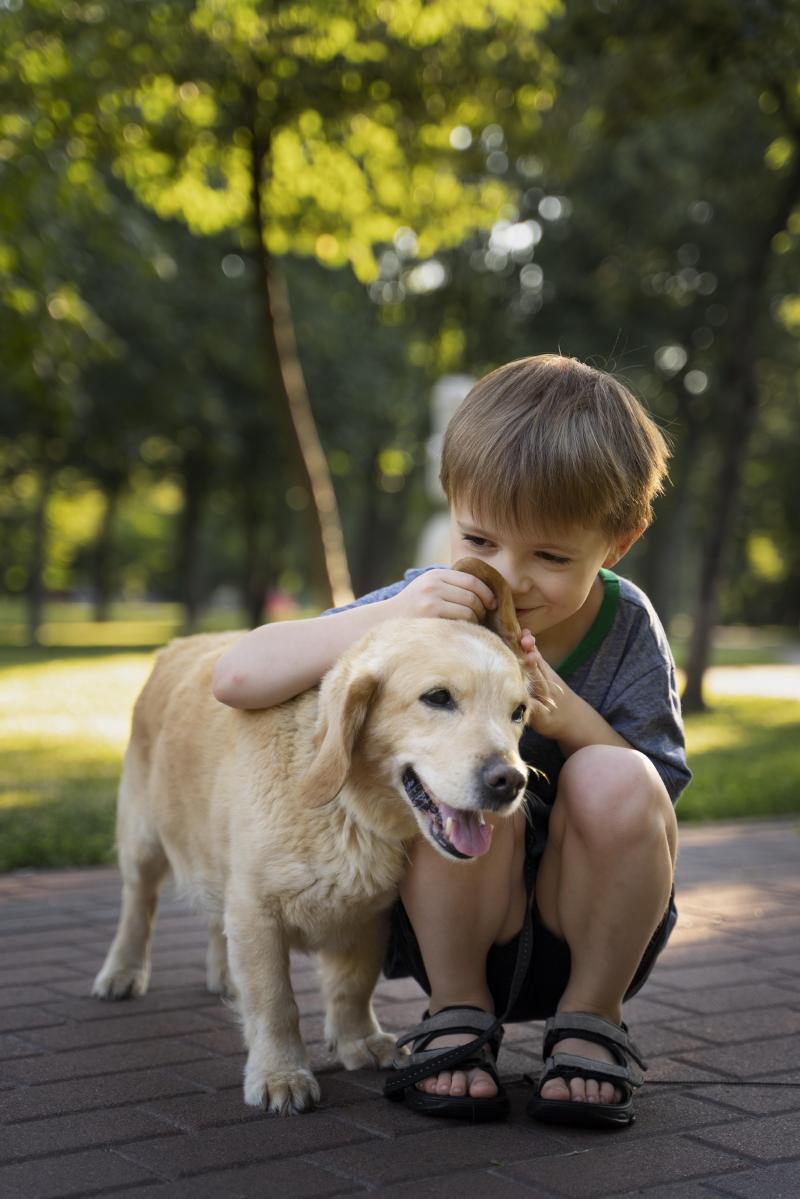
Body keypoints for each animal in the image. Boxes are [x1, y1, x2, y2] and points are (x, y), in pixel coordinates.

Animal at [94, 558, 532, 1112]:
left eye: (518, 712)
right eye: (437, 698)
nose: (511, 781)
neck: (349, 810)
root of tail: (177, 645)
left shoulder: (370, 914)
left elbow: (353, 986)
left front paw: (357, 1040)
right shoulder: (256, 911)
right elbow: (275, 1002)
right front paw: (280, 1073)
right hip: (143, 840)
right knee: (138, 905)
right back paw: (122, 972)